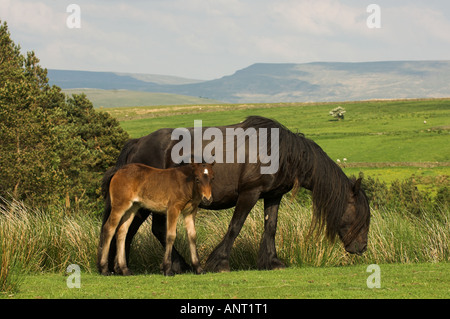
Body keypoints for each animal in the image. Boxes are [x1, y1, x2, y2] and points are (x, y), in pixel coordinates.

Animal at [100, 117, 370, 276]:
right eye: (361, 216)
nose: (361, 248)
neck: (278, 150)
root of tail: (138, 143)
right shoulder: (250, 194)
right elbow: (235, 227)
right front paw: (220, 263)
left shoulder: (273, 196)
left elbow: (270, 227)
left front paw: (271, 261)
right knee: (131, 229)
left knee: (135, 229)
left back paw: (124, 267)